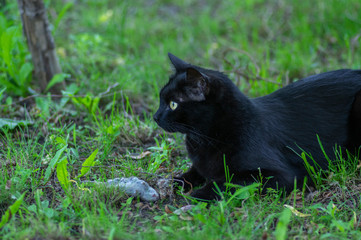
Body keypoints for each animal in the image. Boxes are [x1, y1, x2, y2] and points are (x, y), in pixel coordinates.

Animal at [153, 53, 360, 201]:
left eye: (173, 104)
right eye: (161, 99)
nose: (155, 117)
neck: (205, 138)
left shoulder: (280, 175)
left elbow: (227, 182)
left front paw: (198, 194)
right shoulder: (201, 164)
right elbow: (194, 172)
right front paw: (173, 182)